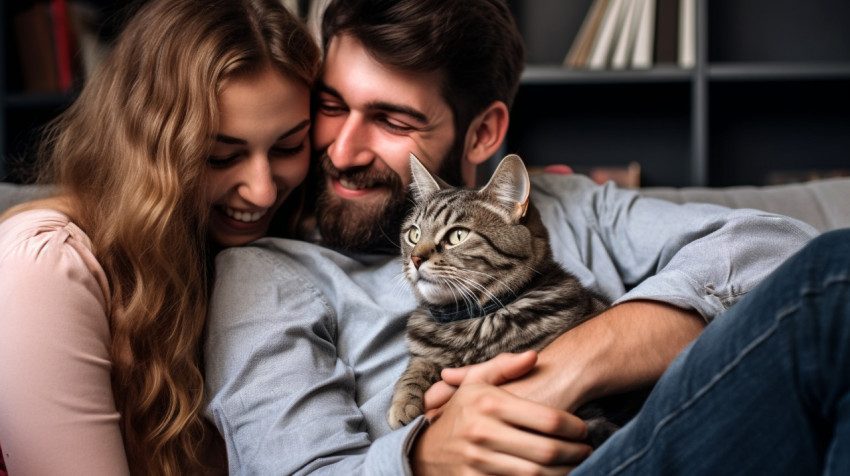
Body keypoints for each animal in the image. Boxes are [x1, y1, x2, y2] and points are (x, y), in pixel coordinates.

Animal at [386, 154, 644, 448]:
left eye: (457, 236)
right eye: (414, 234)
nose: (415, 258)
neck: (470, 320)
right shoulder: (424, 353)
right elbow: (415, 368)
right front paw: (404, 403)